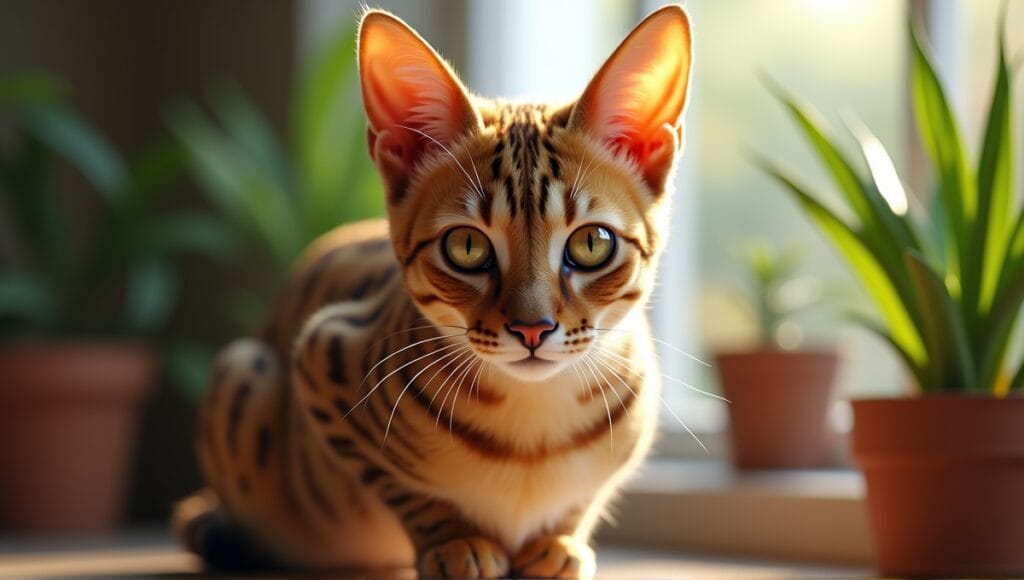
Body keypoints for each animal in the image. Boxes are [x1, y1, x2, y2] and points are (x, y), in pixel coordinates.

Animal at [172, 3, 692, 577]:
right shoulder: (320, 357)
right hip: (246, 369)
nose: (532, 328)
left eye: (592, 243)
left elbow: (587, 496)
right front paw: (455, 540)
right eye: (466, 246)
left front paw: (560, 542)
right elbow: (404, 488)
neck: (532, 436)